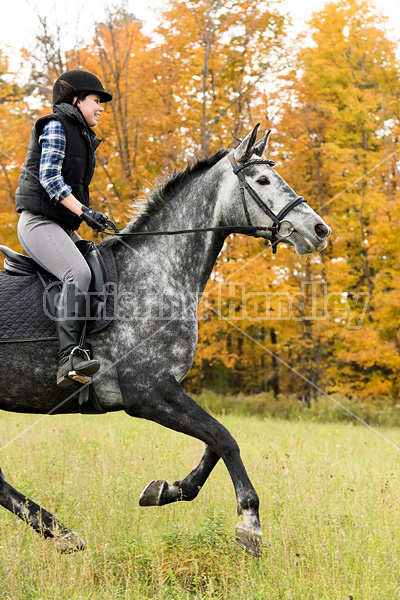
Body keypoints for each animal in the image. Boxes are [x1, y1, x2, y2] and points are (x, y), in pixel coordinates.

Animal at [0, 124, 332, 556]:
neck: (157, 271)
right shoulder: (148, 392)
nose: (320, 230)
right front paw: (250, 523)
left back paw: (60, 531)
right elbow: (224, 438)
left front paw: (168, 490)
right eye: (262, 180)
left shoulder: (166, 388)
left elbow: (215, 441)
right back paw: (59, 530)